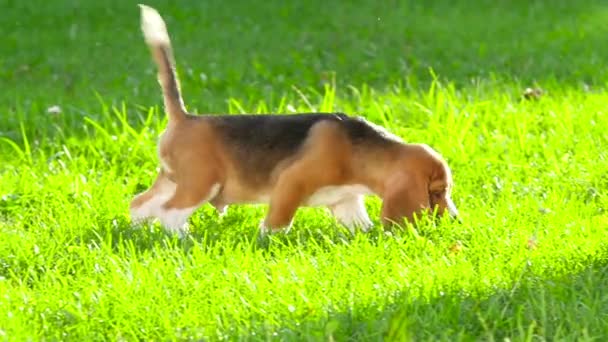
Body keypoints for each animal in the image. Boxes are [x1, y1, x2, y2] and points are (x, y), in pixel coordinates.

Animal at [131, 5, 458, 236]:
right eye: (437, 192)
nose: (456, 219)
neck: (357, 151)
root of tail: (185, 117)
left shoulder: (345, 200)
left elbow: (358, 224)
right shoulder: (291, 183)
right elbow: (277, 222)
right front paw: (269, 242)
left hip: (173, 180)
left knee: (139, 205)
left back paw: (139, 233)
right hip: (201, 183)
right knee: (169, 214)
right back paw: (184, 239)